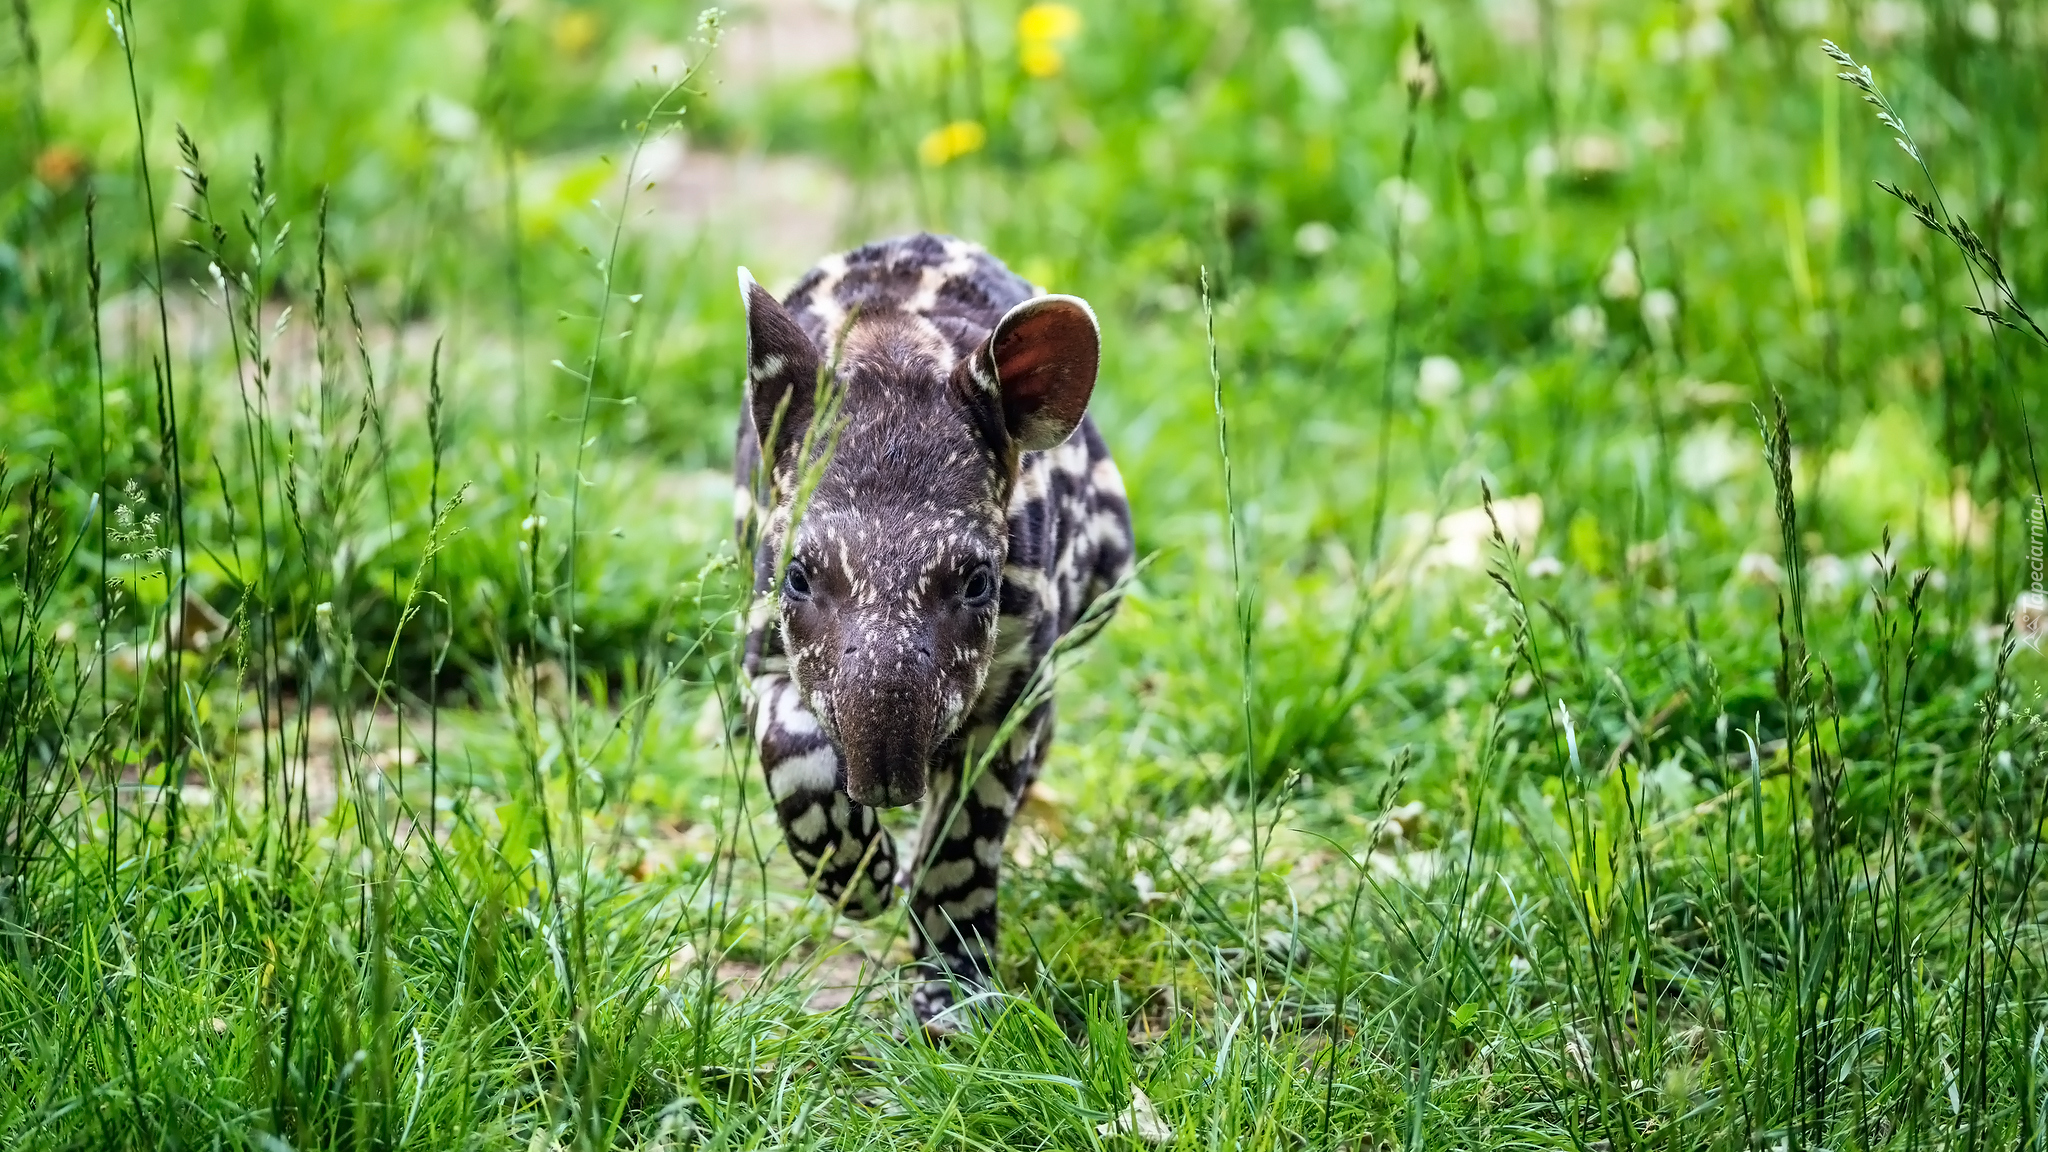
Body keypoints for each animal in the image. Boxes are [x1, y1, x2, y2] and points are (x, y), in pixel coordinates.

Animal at [733, 230, 1138, 1020]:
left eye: (977, 581)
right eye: (799, 575)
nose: (888, 782)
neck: (893, 351)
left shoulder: (1013, 684)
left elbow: (963, 844)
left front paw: (955, 1000)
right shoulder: (763, 649)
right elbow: (790, 753)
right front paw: (861, 879)